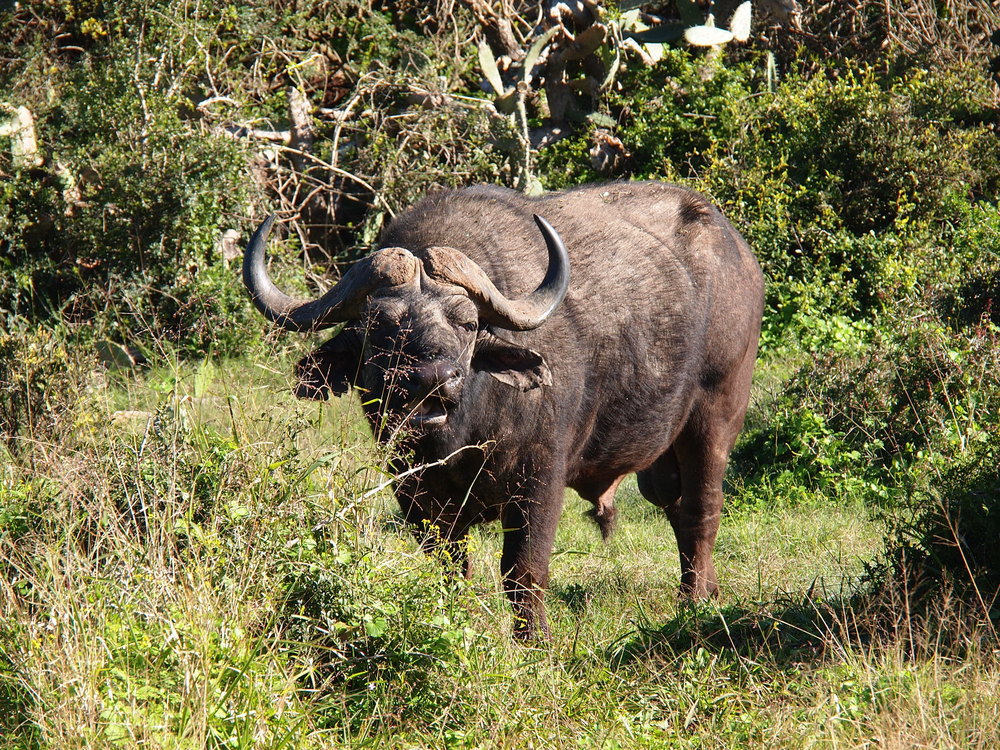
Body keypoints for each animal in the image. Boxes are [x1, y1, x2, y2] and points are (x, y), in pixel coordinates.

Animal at [244, 179, 764, 636]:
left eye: (469, 323)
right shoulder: (415, 495)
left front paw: (534, 640)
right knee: (674, 507)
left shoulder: (540, 482)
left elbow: (523, 571)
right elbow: (450, 569)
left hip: (715, 417)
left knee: (701, 509)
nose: (432, 379)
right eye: (379, 325)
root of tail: (739, 252)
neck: (462, 441)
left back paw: (695, 602)